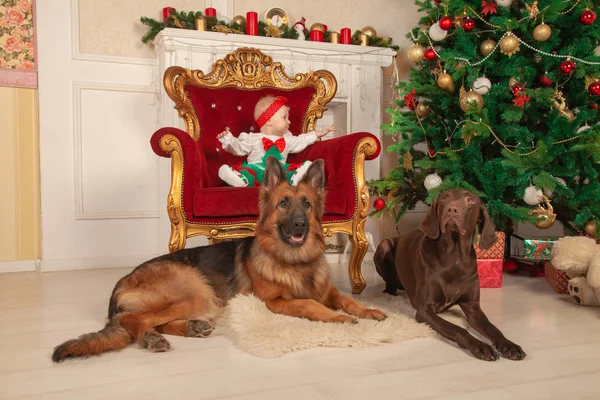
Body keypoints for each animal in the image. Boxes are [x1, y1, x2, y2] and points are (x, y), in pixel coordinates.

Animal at [54, 157, 386, 362]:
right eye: (283, 204)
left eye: (306, 204)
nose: (299, 225)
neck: (294, 261)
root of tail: (121, 284)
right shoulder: (275, 302)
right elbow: (310, 304)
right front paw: (339, 318)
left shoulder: (329, 291)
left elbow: (348, 299)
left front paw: (370, 310)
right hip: (197, 291)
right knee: (134, 320)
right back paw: (153, 338)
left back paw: (192, 328)